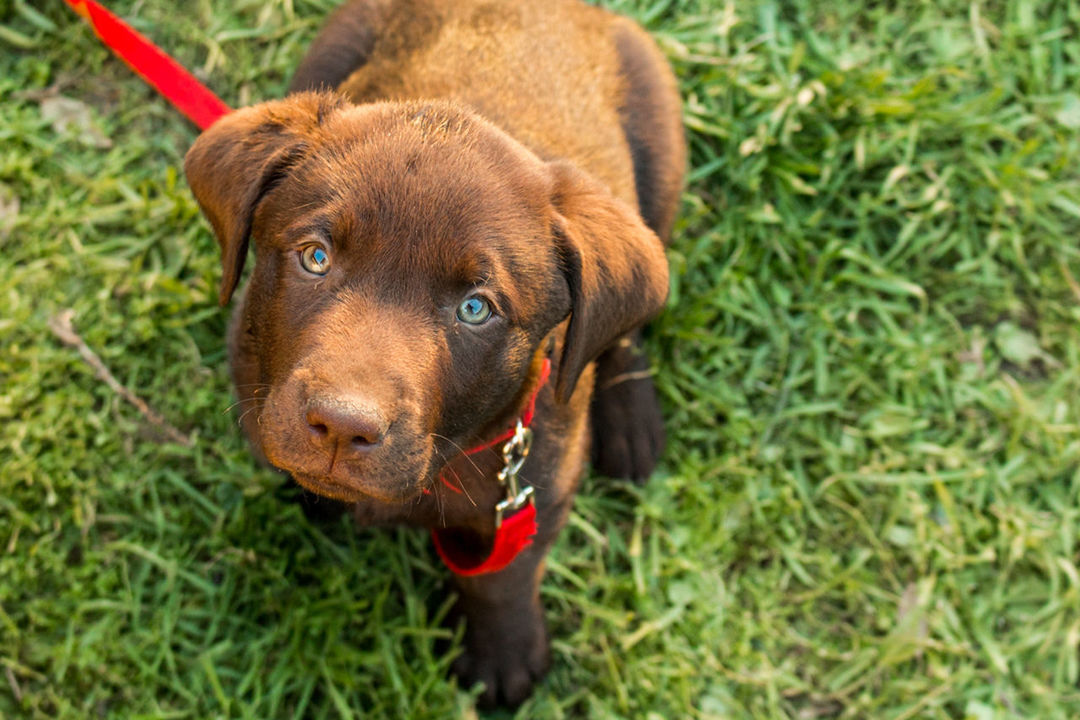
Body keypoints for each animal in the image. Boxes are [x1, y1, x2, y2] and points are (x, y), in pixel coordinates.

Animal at [185, 0, 682, 708]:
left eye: (476, 309)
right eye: (316, 256)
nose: (342, 426)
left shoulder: (537, 486)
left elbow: (500, 578)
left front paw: (505, 658)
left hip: (661, 145)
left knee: (629, 325)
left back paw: (632, 424)